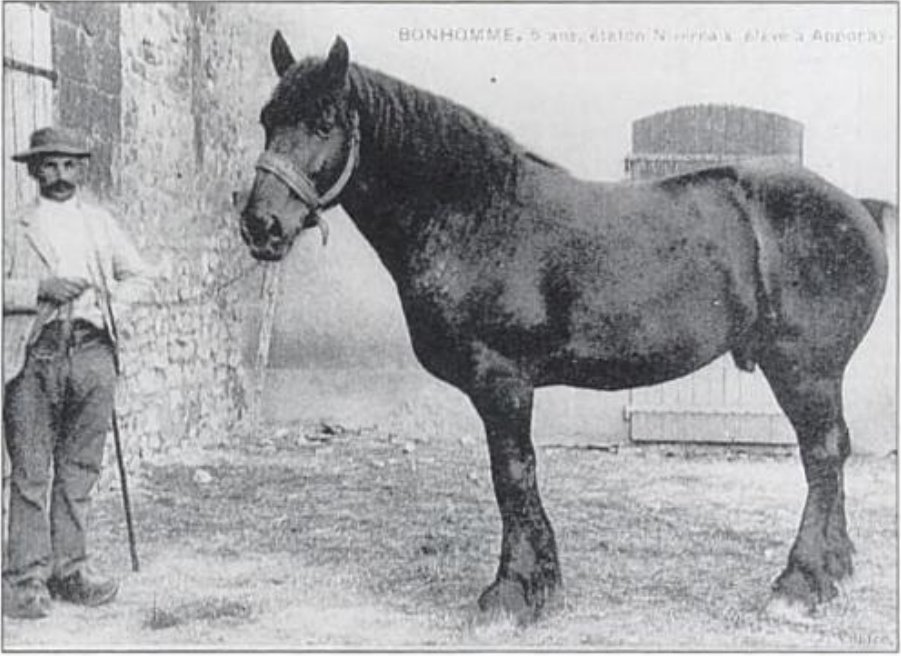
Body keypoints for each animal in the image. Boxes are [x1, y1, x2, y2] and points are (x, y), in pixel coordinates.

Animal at [240, 33, 888, 623]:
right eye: (268, 120)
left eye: (324, 122)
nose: (260, 225)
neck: (476, 213)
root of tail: (858, 206)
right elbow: (517, 478)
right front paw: (541, 580)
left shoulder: (502, 382)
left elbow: (512, 474)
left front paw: (511, 593)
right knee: (834, 452)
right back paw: (834, 570)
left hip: (803, 369)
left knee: (821, 455)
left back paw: (799, 584)